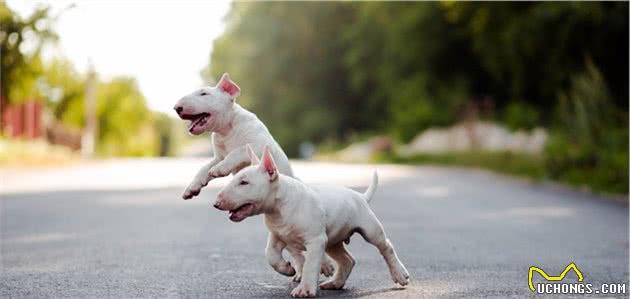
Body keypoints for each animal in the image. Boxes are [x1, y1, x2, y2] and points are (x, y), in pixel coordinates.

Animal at [215, 145, 412, 298]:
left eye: (244, 182)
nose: (216, 203)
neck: (280, 207)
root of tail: (360, 196)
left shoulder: (316, 241)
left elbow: (309, 265)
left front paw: (304, 290)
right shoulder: (278, 236)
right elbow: (270, 254)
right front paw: (287, 268)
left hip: (370, 229)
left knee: (386, 247)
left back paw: (400, 274)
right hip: (332, 240)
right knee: (347, 260)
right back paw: (335, 283)